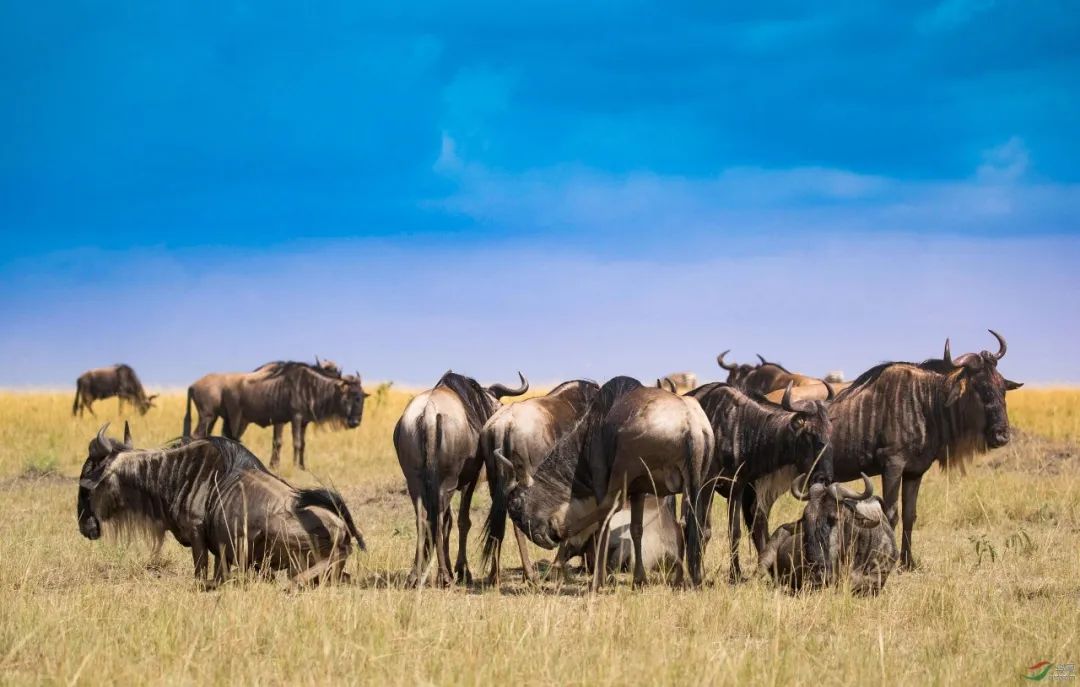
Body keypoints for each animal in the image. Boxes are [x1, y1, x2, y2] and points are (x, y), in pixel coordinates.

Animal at [77, 421, 367, 587]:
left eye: (85, 487)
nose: (85, 527)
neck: (172, 474)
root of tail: (342, 529)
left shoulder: (197, 534)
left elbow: (200, 575)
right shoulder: (220, 546)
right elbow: (217, 571)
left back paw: (290, 583)